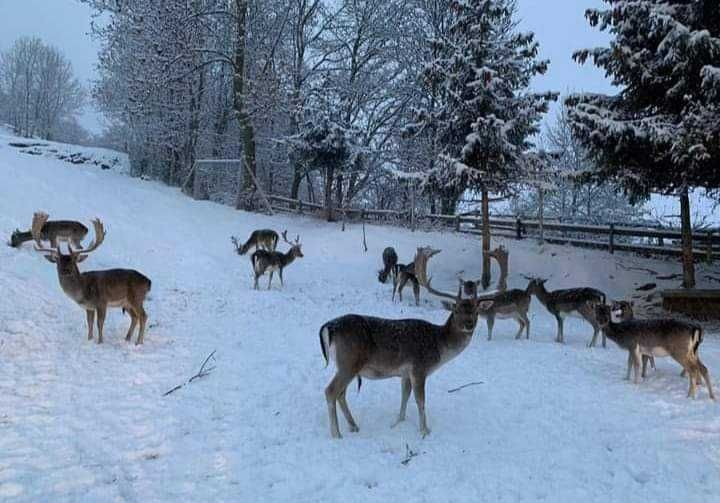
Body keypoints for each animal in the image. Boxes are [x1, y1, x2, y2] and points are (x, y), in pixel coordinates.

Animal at [31, 212, 153, 346]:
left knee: (143, 316)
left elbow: (99, 323)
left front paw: (100, 342)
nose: (65, 271)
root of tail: (148, 282)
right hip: (127, 302)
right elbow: (89, 323)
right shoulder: (89, 307)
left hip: (136, 297)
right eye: (58, 262)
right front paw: (89, 339)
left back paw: (139, 342)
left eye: (73, 262)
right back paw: (127, 338)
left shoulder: (102, 302)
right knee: (135, 317)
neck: (83, 291)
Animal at [322, 246, 496, 440]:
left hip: (346, 365)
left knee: (341, 393)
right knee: (330, 391)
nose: (469, 324)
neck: (439, 346)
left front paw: (398, 422)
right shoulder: (419, 368)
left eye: (476, 312)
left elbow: (404, 396)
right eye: (456, 310)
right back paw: (336, 434)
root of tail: (330, 327)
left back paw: (353, 426)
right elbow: (420, 401)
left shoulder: (405, 373)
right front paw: (425, 431)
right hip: (349, 361)